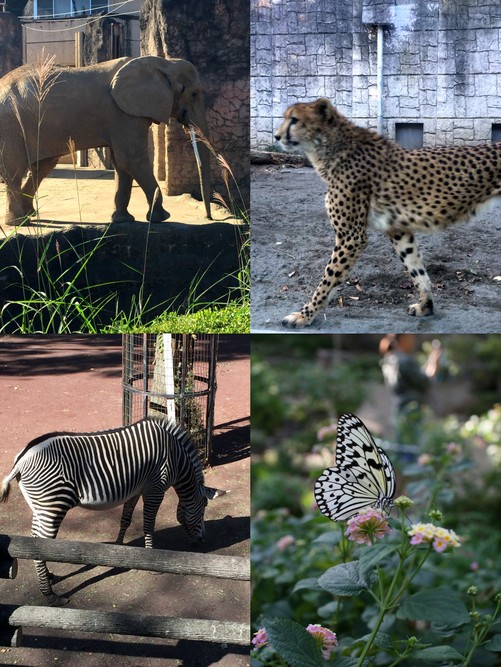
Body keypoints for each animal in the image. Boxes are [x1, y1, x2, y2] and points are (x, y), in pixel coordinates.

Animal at [0, 56, 212, 227]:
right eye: (194, 94)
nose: (208, 217)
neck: (164, 63)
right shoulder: (124, 115)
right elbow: (132, 160)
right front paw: (162, 217)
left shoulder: (122, 117)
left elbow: (122, 165)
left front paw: (123, 220)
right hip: (11, 127)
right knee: (15, 170)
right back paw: (18, 222)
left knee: (42, 167)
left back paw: (28, 215)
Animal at [0, 420, 223, 608]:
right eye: (204, 507)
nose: (201, 541)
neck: (176, 458)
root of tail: (21, 460)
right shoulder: (155, 488)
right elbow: (148, 525)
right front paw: (152, 560)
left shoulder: (136, 489)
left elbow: (126, 519)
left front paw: (118, 547)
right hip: (53, 505)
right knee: (41, 545)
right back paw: (50, 595)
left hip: (39, 507)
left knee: (34, 539)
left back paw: (50, 577)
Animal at [274, 97, 500, 328]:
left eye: (294, 120)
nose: (277, 136)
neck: (332, 149)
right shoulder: (398, 230)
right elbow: (417, 270)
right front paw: (425, 306)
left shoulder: (351, 236)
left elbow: (327, 279)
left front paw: (305, 315)